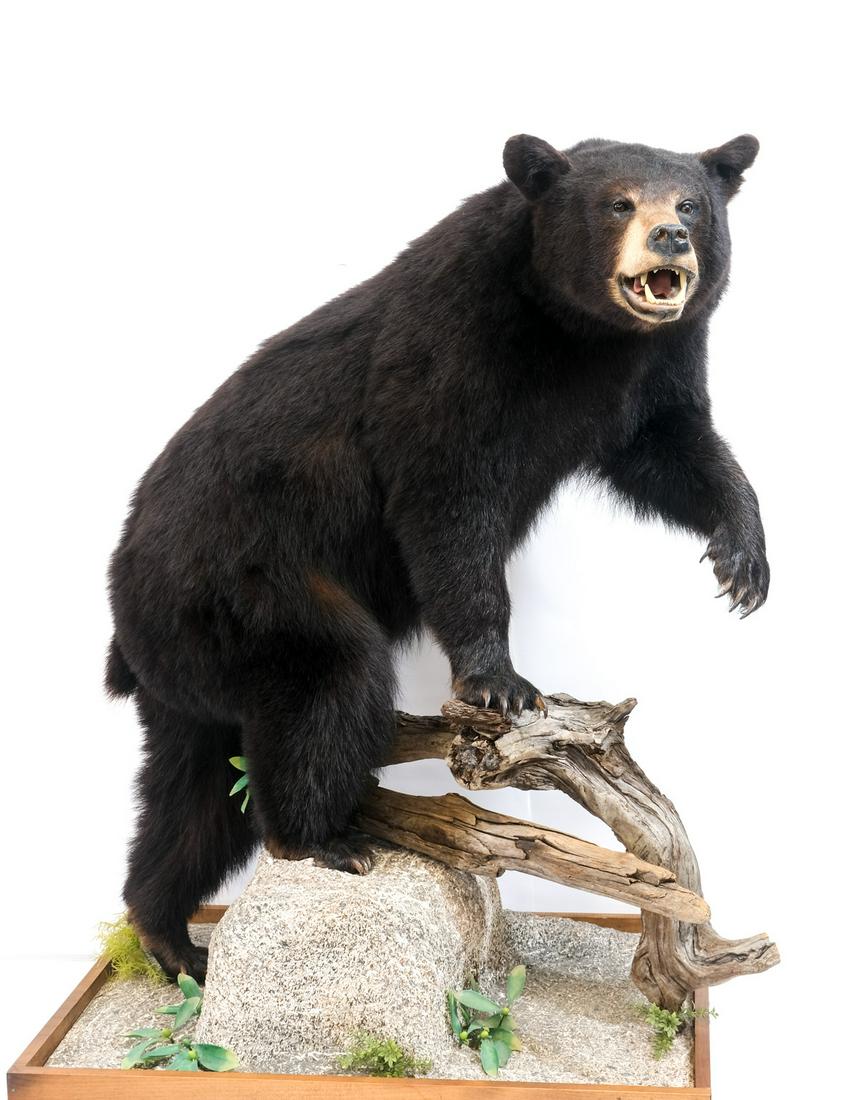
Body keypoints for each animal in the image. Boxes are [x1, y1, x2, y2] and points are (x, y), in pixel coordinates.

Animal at [106, 133, 769, 981]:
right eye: (617, 202)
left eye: (690, 203)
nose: (670, 237)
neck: (578, 333)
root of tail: (126, 621)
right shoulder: (453, 352)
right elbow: (446, 503)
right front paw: (499, 681)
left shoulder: (652, 366)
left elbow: (669, 447)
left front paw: (742, 558)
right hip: (242, 589)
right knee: (327, 684)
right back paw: (320, 839)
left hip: (189, 673)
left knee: (191, 791)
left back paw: (168, 935)